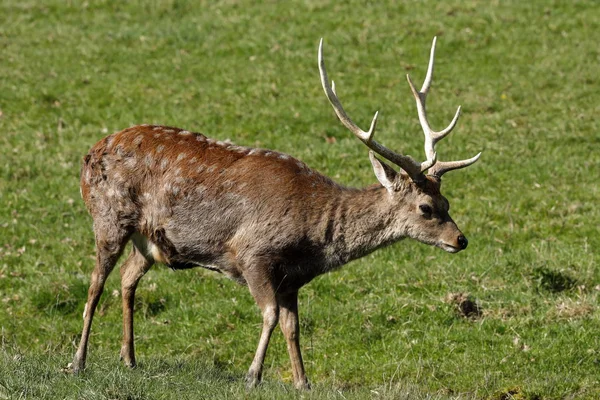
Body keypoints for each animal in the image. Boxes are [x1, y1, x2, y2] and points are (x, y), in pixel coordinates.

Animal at [70, 36, 480, 388]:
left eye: (447, 203)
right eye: (426, 208)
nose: (461, 239)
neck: (313, 240)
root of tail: (89, 152)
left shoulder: (291, 279)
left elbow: (291, 326)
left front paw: (302, 382)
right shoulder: (252, 253)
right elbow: (268, 315)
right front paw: (253, 376)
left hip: (149, 240)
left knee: (127, 278)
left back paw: (129, 358)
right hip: (107, 217)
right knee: (95, 283)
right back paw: (78, 362)